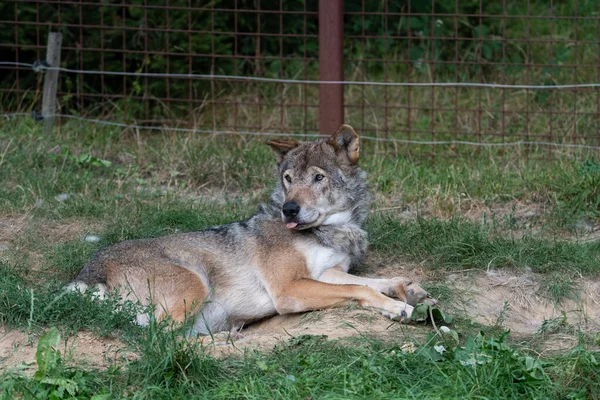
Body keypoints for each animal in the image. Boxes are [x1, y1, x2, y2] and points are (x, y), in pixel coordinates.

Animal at [69, 125, 436, 334]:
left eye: (318, 177)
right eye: (288, 179)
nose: (290, 209)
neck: (331, 230)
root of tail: (88, 272)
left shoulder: (327, 273)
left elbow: (375, 281)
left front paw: (410, 290)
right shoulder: (289, 289)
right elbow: (361, 289)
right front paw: (401, 308)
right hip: (195, 286)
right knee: (152, 336)